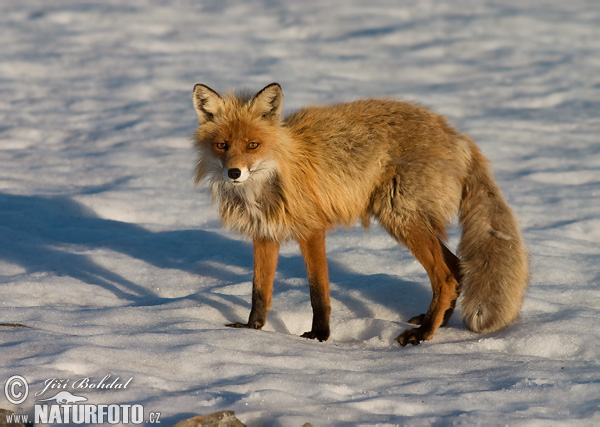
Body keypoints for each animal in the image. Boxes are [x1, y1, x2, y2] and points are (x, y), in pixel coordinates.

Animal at [192, 83, 528, 348]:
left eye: (253, 145)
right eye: (222, 145)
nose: (234, 172)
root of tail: (458, 135)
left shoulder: (311, 230)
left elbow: (319, 293)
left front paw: (320, 336)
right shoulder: (265, 234)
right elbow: (259, 292)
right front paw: (252, 330)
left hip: (400, 216)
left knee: (445, 277)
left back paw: (423, 334)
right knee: (457, 268)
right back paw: (437, 322)